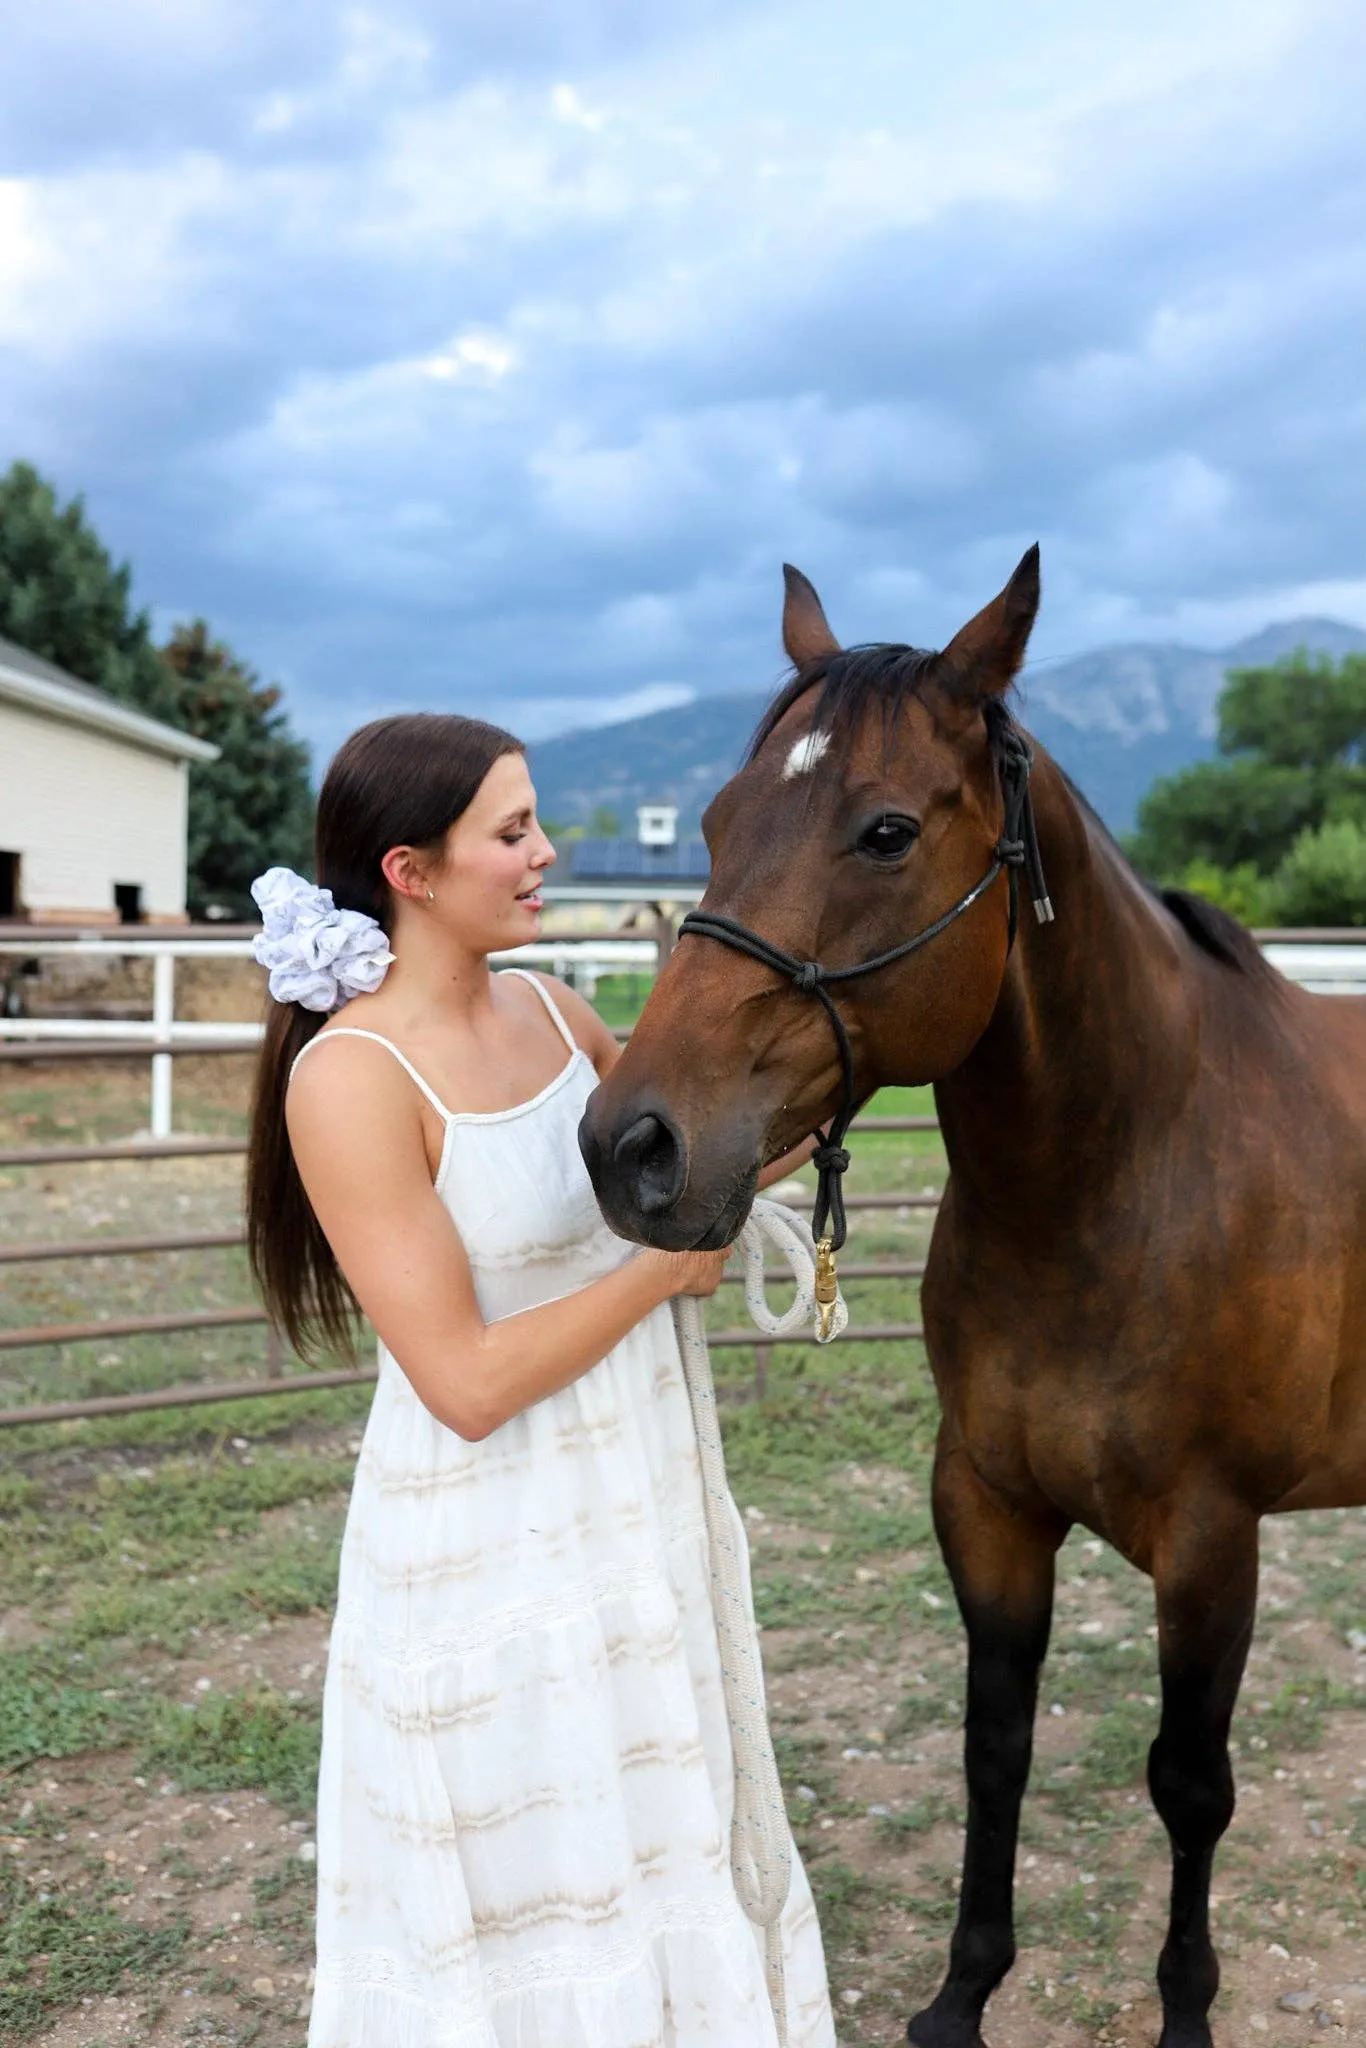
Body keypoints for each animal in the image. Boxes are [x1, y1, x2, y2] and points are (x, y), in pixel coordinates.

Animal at [577, 544, 1366, 2048]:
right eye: (712, 817)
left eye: (885, 832)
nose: (629, 1147)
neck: (1122, 1182)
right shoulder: (986, 1502)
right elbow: (992, 1746)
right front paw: (961, 1992)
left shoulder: (1212, 1538)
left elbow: (1189, 1782)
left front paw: (1184, 2012)